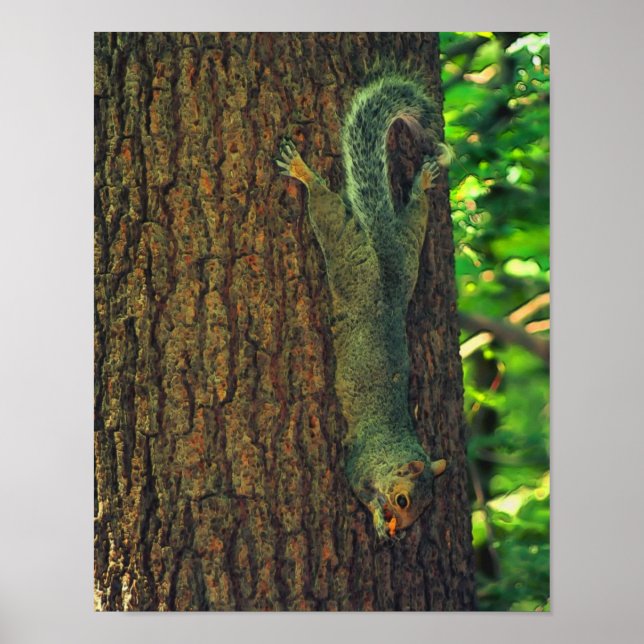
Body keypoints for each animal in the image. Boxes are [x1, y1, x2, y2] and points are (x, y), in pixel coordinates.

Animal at [276, 74, 450, 540]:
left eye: (425, 509)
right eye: (404, 499)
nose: (401, 530)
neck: (392, 449)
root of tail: (385, 282)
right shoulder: (360, 462)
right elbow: (357, 486)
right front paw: (375, 517)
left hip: (408, 256)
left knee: (414, 217)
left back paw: (423, 185)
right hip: (349, 262)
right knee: (329, 214)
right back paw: (303, 173)